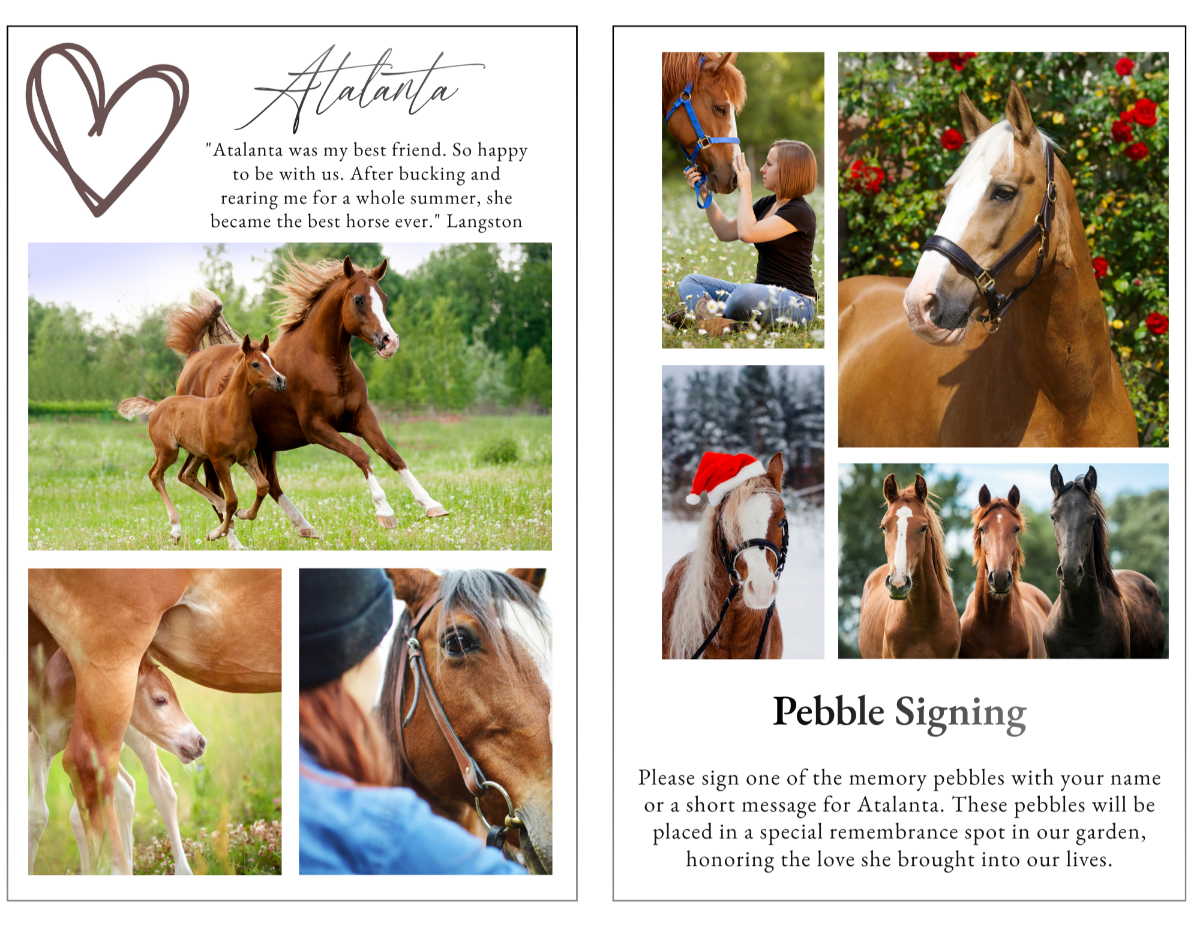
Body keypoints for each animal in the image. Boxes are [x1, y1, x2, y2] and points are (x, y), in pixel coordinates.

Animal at [29, 650, 203, 875]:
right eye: (160, 700)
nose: (200, 742)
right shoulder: (38, 741)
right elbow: (39, 814)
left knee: (160, 785)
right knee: (124, 788)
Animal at [118, 334, 286, 549]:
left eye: (271, 361)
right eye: (255, 364)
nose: (280, 380)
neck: (229, 413)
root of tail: (158, 405)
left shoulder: (246, 456)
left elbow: (262, 486)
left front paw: (242, 514)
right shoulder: (218, 460)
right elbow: (232, 499)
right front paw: (216, 533)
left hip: (197, 453)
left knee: (186, 475)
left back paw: (222, 511)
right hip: (168, 452)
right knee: (155, 475)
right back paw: (176, 530)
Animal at [169, 259, 448, 540]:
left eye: (385, 298)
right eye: (358, 299)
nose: (390, 341)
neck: (327, 363)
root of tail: (193, 356)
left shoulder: (361, 418)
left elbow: (392, 455)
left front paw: (432, 505)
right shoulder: (316, 428)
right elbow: (360, 455)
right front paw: (385, 511)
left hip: (265, 445)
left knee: (270, 483)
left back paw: (304, 526)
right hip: (211, 452)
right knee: (215, 490)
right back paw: (230, 537)